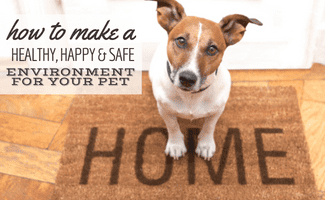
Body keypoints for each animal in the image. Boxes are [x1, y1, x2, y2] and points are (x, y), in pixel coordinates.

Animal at [148, 0, 262, 160]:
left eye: (212, 49)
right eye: (181, 41)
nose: (187, 78)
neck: (191, 96)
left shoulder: (217, 110)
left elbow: (209, 126)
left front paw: (205, 145)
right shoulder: (164, 109)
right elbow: (172, 126)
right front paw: (176, 145)